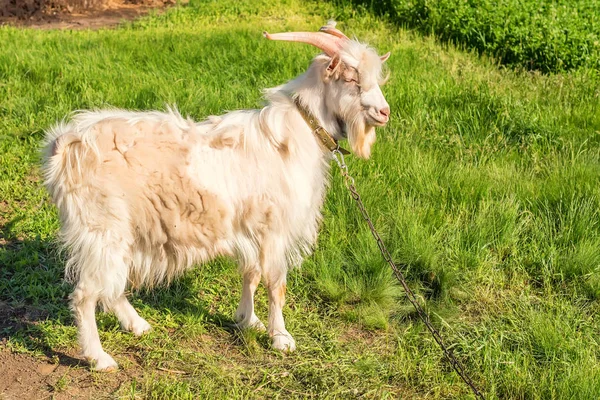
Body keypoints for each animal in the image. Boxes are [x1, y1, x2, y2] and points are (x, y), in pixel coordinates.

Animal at [41, 21, 390, 372]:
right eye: (351, 78)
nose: (384, 112)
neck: (294, 136)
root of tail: (66, 143)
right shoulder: (274, 229)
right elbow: (275, 284)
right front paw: (281, 338)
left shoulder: (250, 227)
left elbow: (251, 274)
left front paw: (248, 320)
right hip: (101, 228)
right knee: (85, 294)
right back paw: (99, 357)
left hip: (122, 232)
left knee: (111, 285)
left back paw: (137, 325)